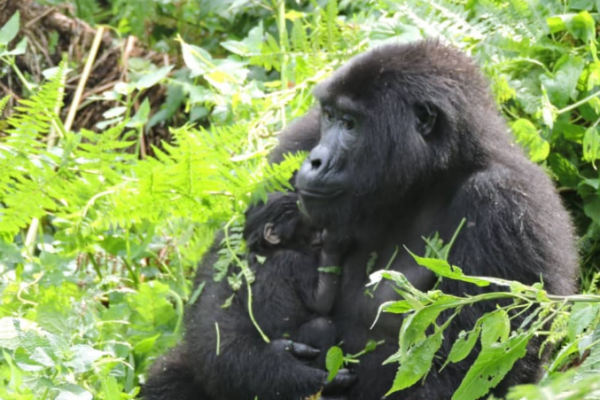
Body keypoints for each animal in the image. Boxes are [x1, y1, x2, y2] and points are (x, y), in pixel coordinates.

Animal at [241, 191, 340, 368]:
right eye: (311, 228)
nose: (319, 236)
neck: (268, 249)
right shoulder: (295, 261)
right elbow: (319, 302)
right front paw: (332, 242)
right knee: (321, 327)